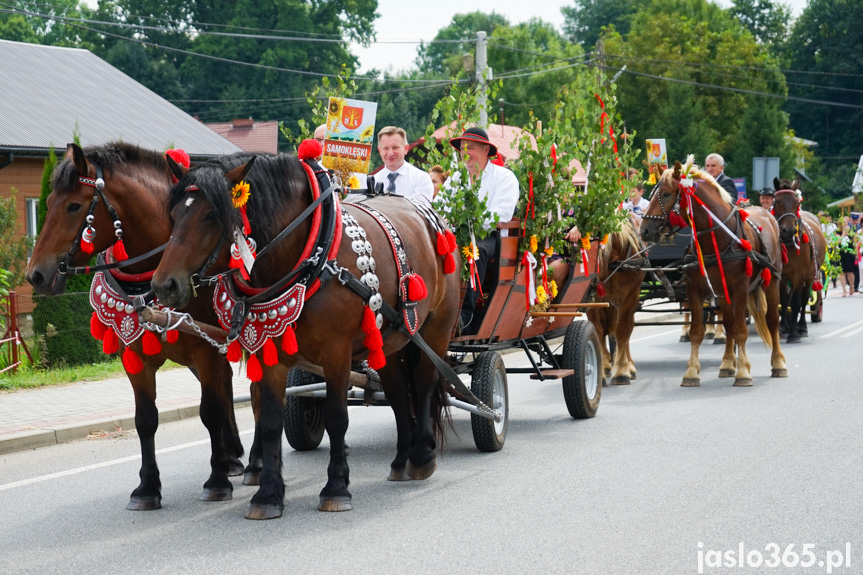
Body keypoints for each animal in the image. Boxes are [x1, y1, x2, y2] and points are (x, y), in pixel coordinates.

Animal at [26, 142, 243, 510]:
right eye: (49, 202)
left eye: (73, 206)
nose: (36, 275)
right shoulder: (137, 359)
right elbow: (145, 420)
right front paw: (147, 487)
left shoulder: (206, 351)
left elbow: (210, 411)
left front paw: (216, 482)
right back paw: (234, 456)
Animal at [150, 151, 460, 520]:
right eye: (174, 215)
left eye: (211, 214)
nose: (164, 285)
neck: (311, 257)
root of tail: (432, 218)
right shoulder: (270, 353)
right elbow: (270, 421)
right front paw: (268, 494)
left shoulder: (337, 352)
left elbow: (337, 417)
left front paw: (336, 487)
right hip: (389, 340)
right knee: (399, 391)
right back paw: (401, 459)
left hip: (436, 327)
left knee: (425, 383)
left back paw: (422, 456)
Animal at [588, 213, 648, 388]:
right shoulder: (593, 301)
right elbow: (598, 331)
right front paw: (601, 371)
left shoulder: (630, 298)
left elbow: (623, 330)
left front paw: (621, 371)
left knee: (626, 329)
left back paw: (629, 367)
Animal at [636, 160, 788, 390]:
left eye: (666, 194)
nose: (643, 231)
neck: (718, 237)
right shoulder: (695, 290)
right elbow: (698, 331)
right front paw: (691, 372)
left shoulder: (741, 288)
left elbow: (742, 330)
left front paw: (743, 373)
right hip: (723, 292)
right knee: (728, 324)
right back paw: (727, 364)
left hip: (772, 281)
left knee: (771, 320)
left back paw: (778, 363)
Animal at [772, 178, 828, 344]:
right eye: (777, 201)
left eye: (796, 202)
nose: (789, 230)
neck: (789, 244)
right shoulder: (781, 276)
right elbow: (783, 300)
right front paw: (782, 328)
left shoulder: (798, 275)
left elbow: (796, 302)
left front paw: (794, 334)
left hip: (810, 275)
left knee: (803, 299)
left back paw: (802, 327)